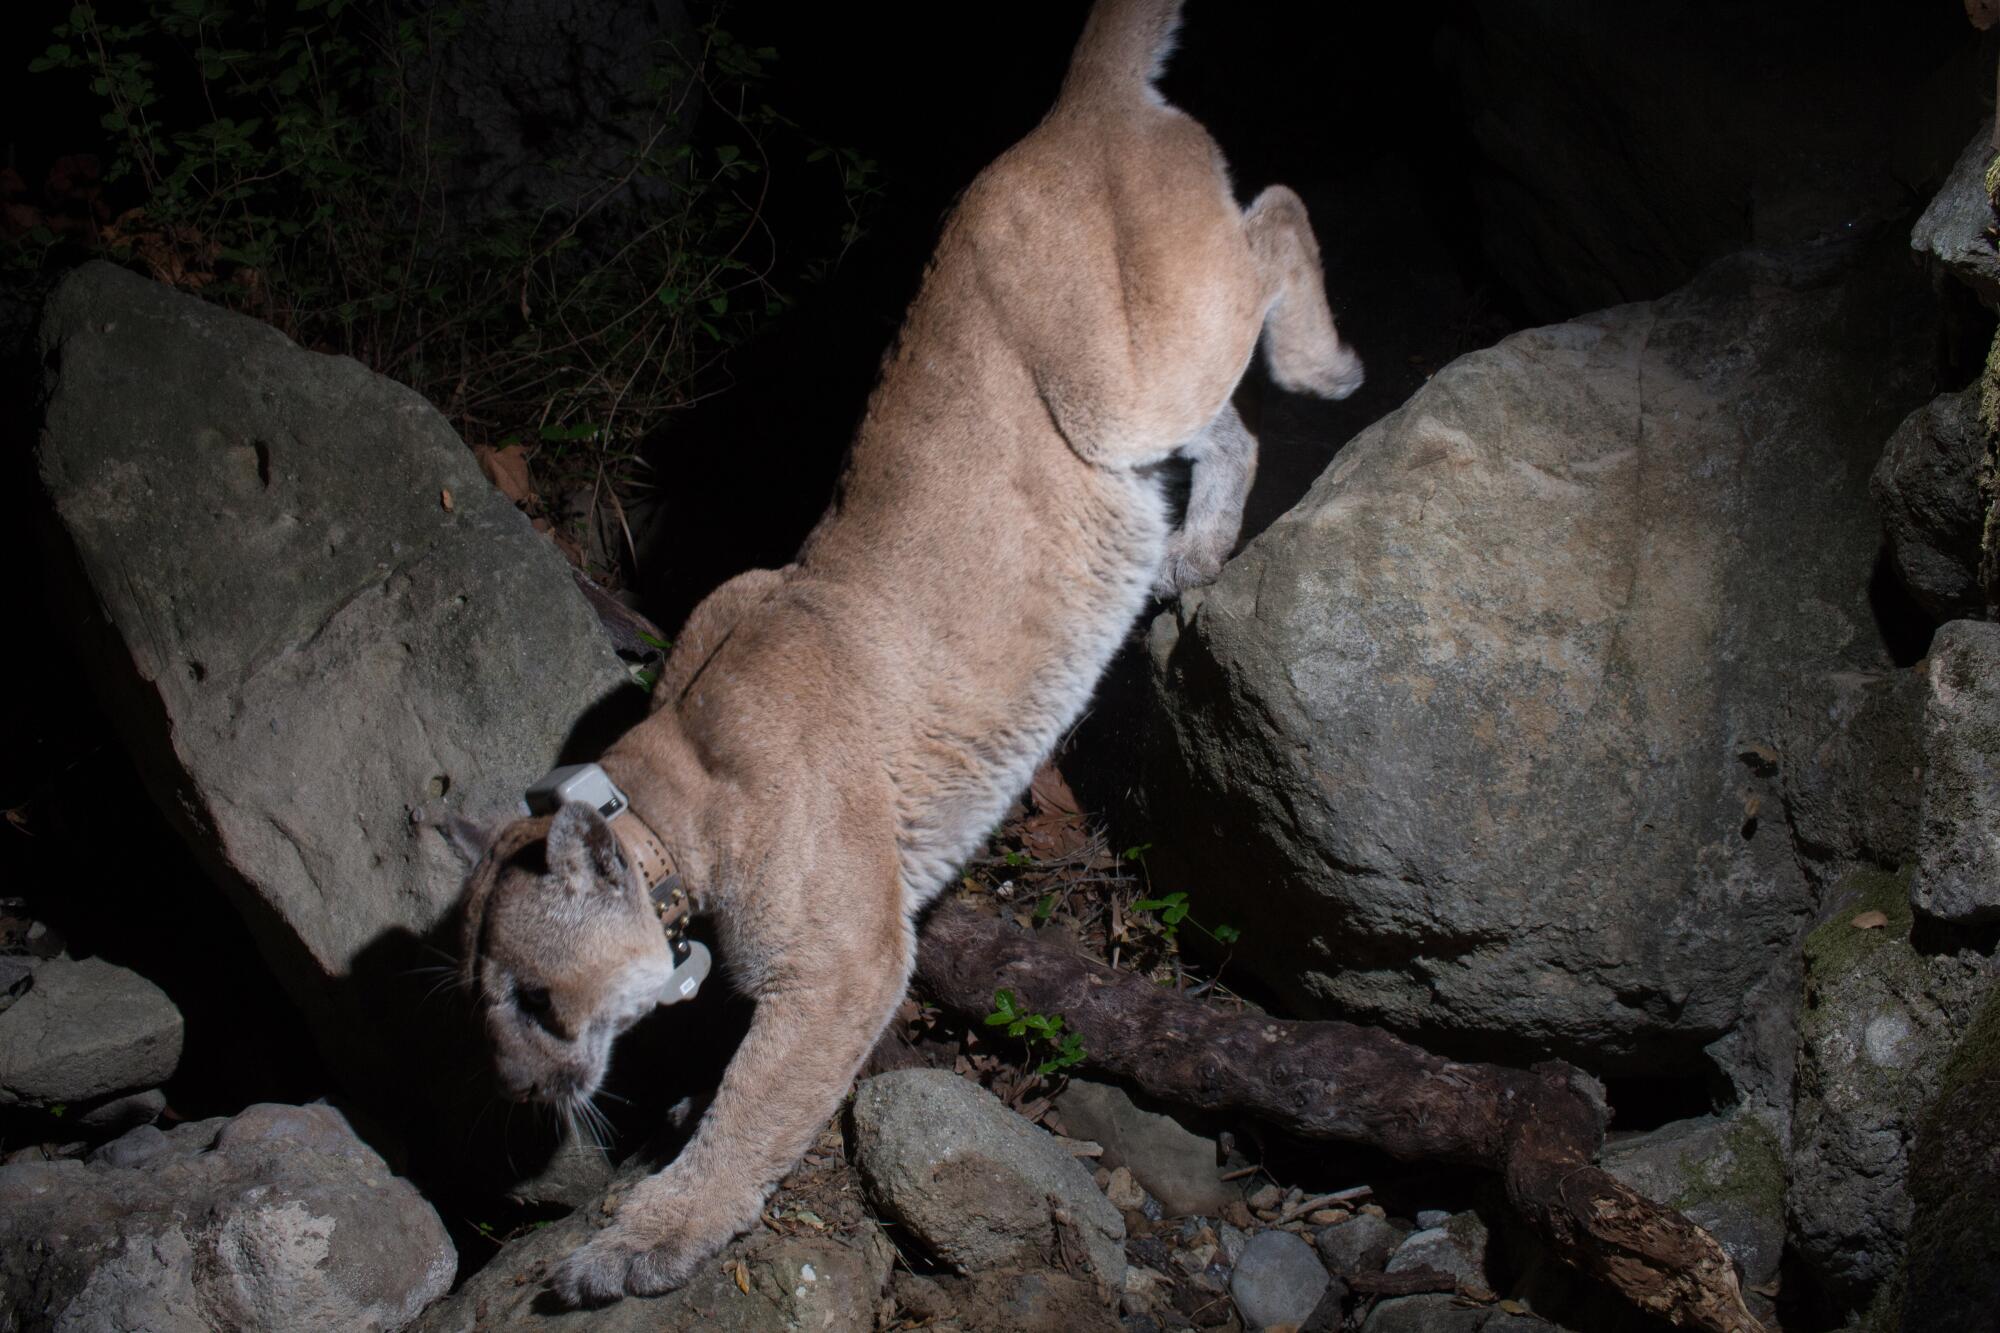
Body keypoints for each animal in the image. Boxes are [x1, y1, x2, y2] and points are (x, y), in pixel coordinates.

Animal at [458, 0, 1360, 1296]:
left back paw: (1322, 363)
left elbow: (751, 1115)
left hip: (1122, 382)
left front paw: (640, 1239)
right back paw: (1190, 544)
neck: (671, 786)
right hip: (1131, 418)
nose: (523, 1094)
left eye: (534, 1000)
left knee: (1275, 220)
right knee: (1225, 422)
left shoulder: (845, 963)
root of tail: (1065, 108)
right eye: (484, 1006)